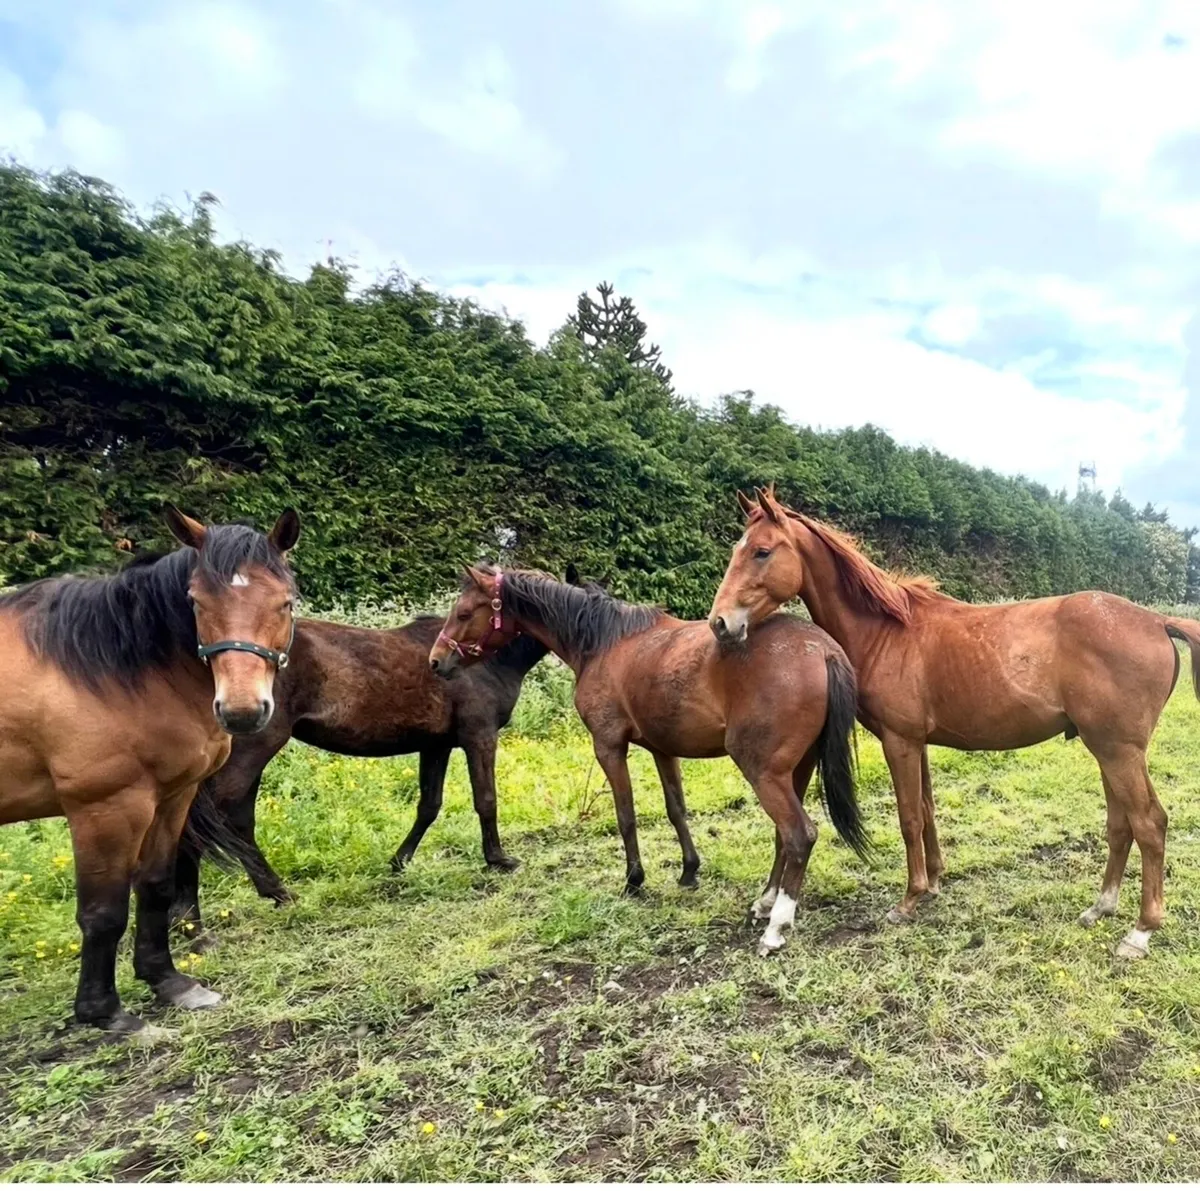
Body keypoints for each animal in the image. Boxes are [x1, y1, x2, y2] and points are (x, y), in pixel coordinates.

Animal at [0, 506, 299, 1031]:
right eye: (196, 602)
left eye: (284, 603)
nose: (242, 711)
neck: (107, 669)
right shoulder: (104, 808)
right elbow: (103, 912)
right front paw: (105, 1012)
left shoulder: (171, 796)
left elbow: (156, 885)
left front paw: (170, 982)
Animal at [170, 619, 547, 937]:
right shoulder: (479, 736)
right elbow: (486, 799)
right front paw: (498, 859)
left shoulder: (436, 745)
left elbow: (429, 805)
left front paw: (399, 861)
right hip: (252, 751)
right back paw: (192, 923)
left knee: (237, 822)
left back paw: (272, 894)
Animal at [429, 566, 870, 956]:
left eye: (464, 613)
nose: (435, 661)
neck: (603, 642)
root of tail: (823, 649)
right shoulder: (662, 749)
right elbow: (676, 810)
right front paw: (689, 870)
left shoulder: (608, 746)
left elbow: (626, 814)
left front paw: (634, 880)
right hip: (795, 770)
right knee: (784, 836)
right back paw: (765, 903)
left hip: (764, 773)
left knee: (799, 834)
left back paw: (777, 925)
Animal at [708, 485, 1200, 960]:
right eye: (739, 548)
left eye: (762, 551)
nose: (720, 623)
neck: (887, 632)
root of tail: (1156, 620)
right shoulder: (919, 743)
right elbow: (926, 811)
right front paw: (934, 883)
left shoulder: (900, 742)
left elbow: (909, 817)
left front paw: (909, 900)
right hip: (1108, 751)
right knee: (1122, 825)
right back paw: (1100, 908)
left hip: (1119, 753)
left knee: (1150, 823)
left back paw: (1140, 932)